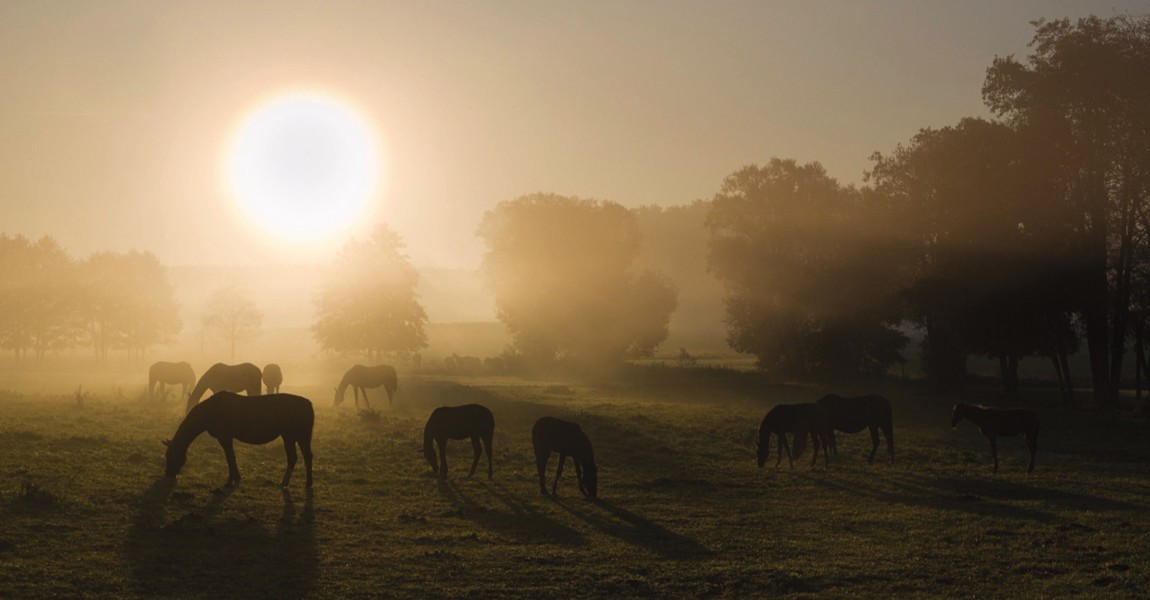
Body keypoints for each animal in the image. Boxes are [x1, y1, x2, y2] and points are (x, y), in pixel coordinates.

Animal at [162, 390, 315, 487]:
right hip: (301, 436)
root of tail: (308, 404)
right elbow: (230, 457)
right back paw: (308, 483)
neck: (210, 411)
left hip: (289, 436)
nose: (168, 475)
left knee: (293, 457)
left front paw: (231, 480)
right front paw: (235, 478)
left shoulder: (225, 437)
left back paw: (284, 482)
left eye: (170, 455)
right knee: (307, 457)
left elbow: (230, 457)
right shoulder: (226, 437)